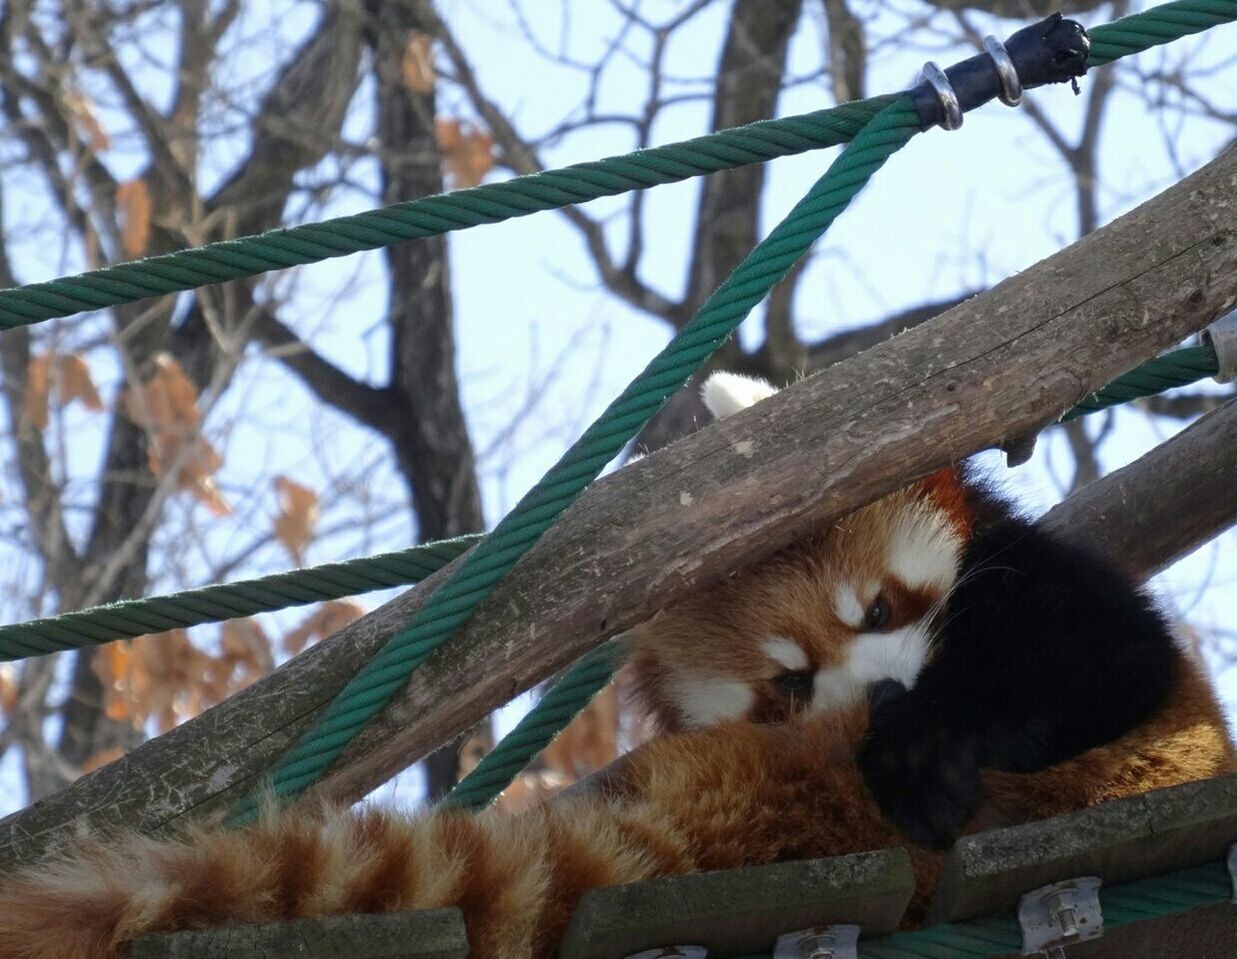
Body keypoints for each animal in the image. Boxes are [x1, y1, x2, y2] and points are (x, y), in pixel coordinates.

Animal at [0, 371, 1227, 955]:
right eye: (785, 682)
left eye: (879, 605)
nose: (879, 696)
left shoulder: (1037, 593)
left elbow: (1100, 665)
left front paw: (928, 739)